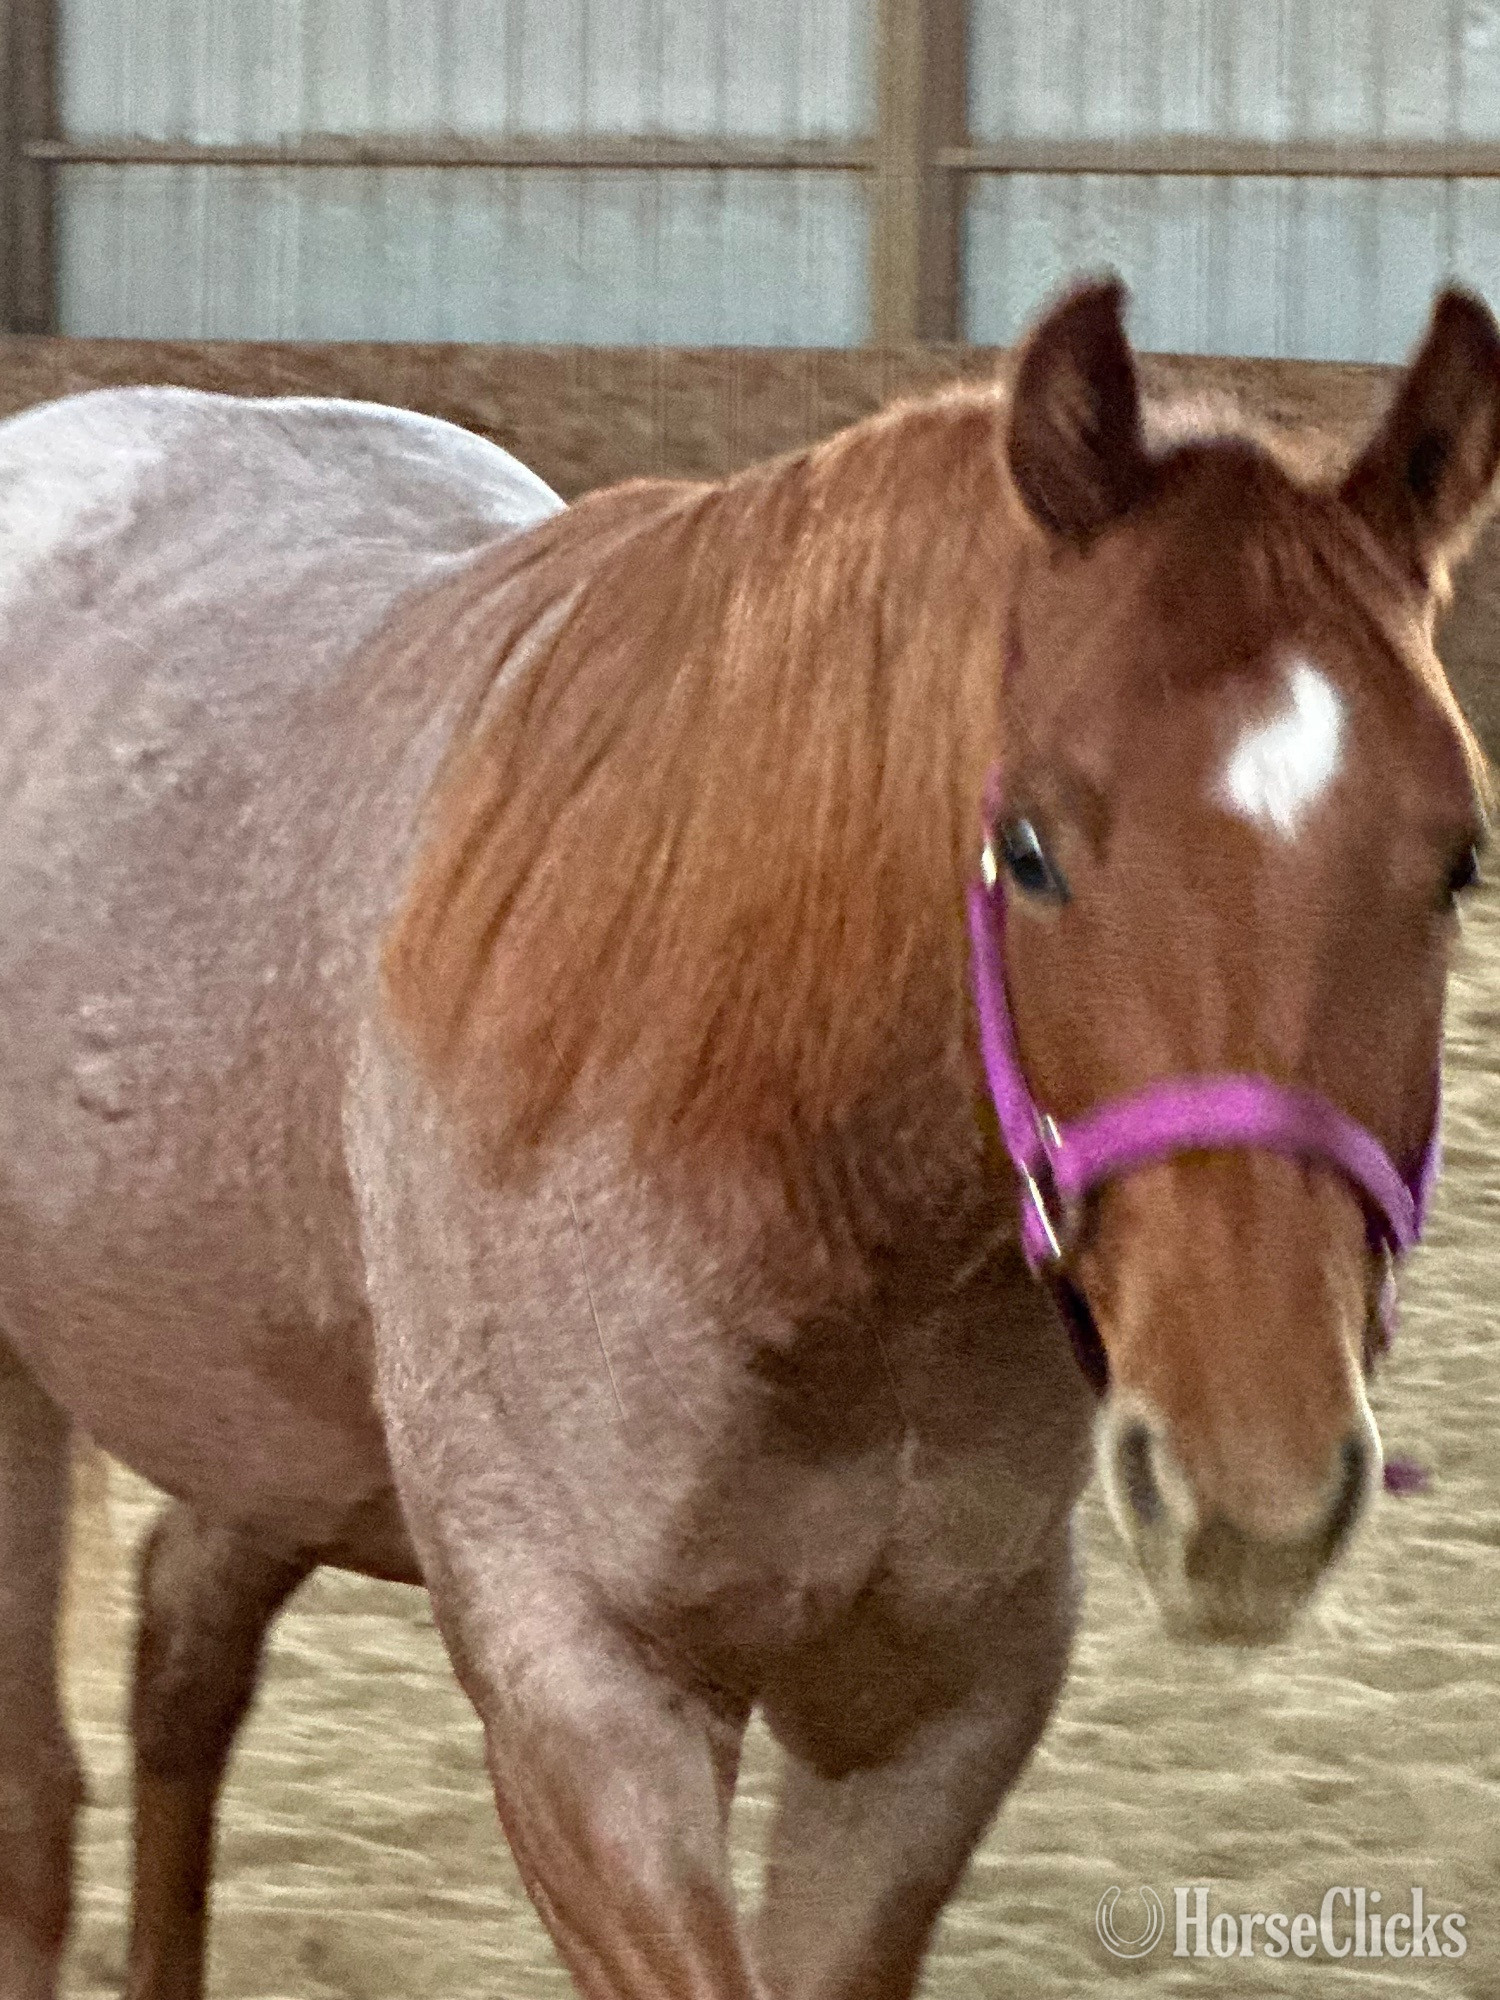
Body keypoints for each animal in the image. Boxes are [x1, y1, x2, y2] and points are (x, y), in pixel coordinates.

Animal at [0, 275, 1496, 2000]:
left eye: (1459, 859)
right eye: (1030, 847)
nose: (1255, 1485)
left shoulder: (929, 1720)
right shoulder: (592, 1713)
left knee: (183, 1645)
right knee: (36, 1797)